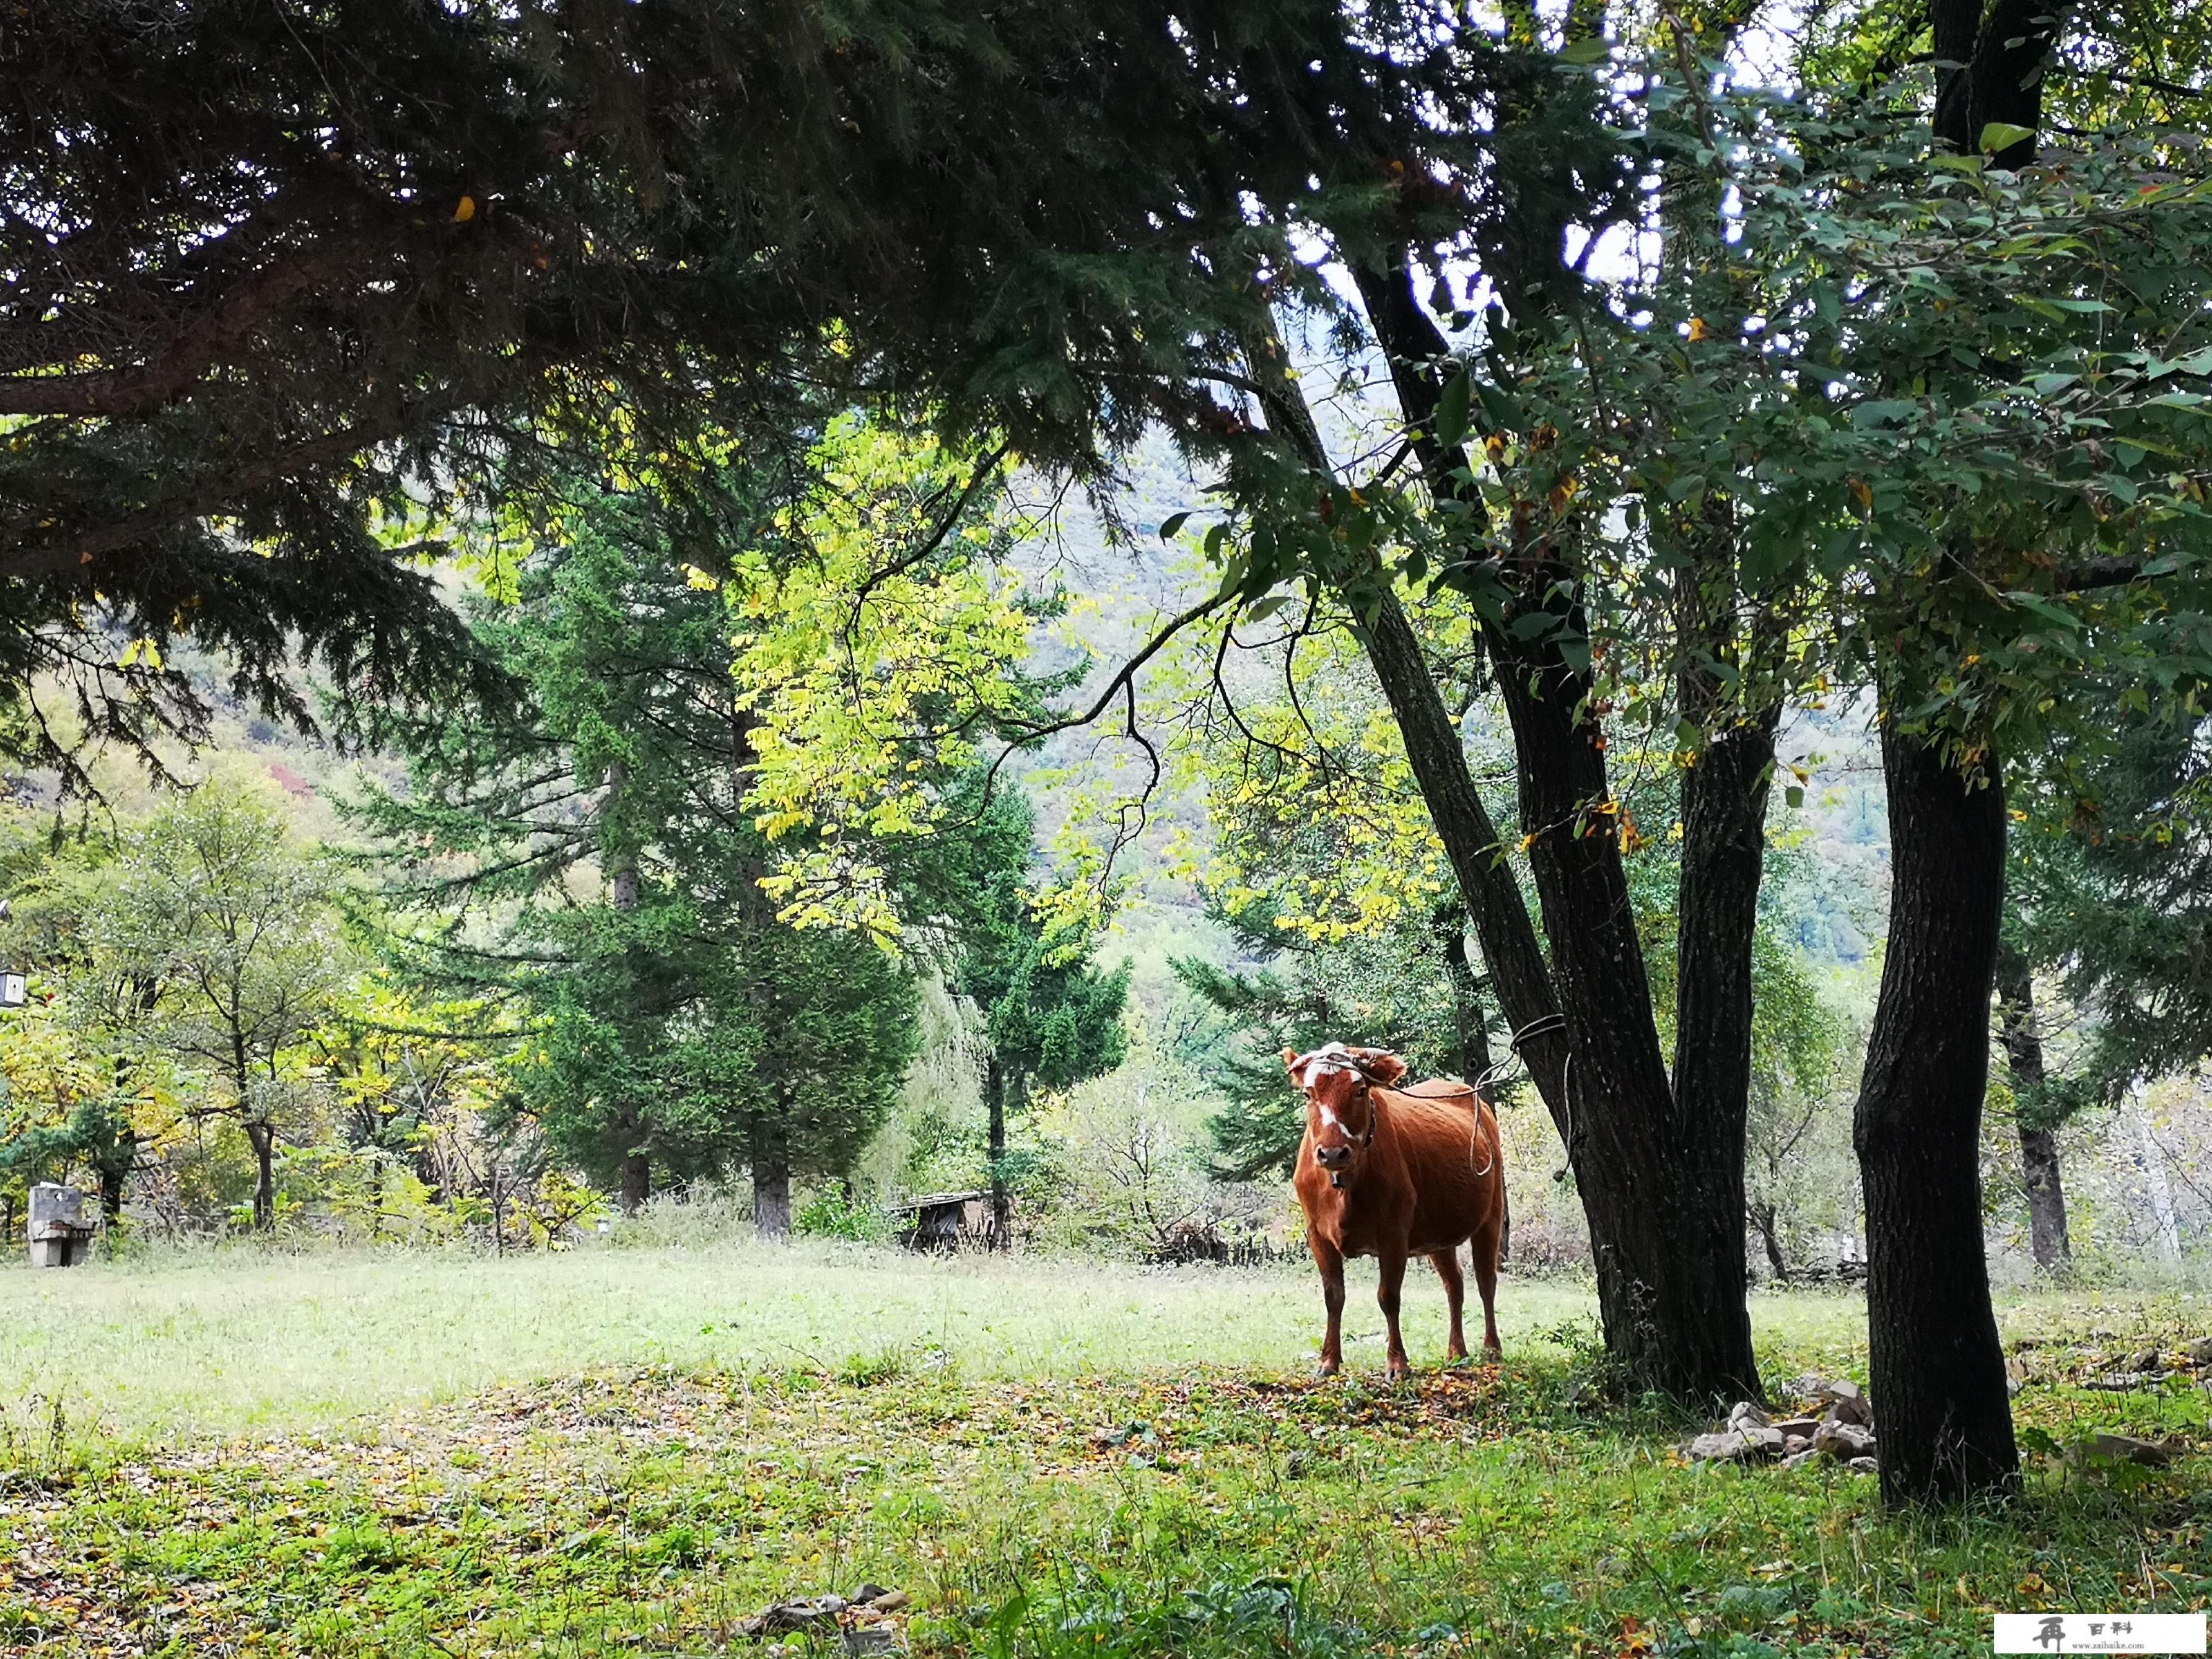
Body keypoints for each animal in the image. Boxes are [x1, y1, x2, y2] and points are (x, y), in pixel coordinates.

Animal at [1292, 1044, 1513, 1380]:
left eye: (1360, 1090)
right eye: (1308, 1094)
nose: (1332, 1153)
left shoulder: (1393, 1233)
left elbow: (1389, 1297)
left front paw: (1397, 1364)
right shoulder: (1317, 1234)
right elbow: (1334, 1296)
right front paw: (1328, 1362)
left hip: (1492, 1215)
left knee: (1486, 1281)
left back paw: (1492, 1350)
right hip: (1438, 1234)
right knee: (1455, 1284)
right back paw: (1456, 1352)